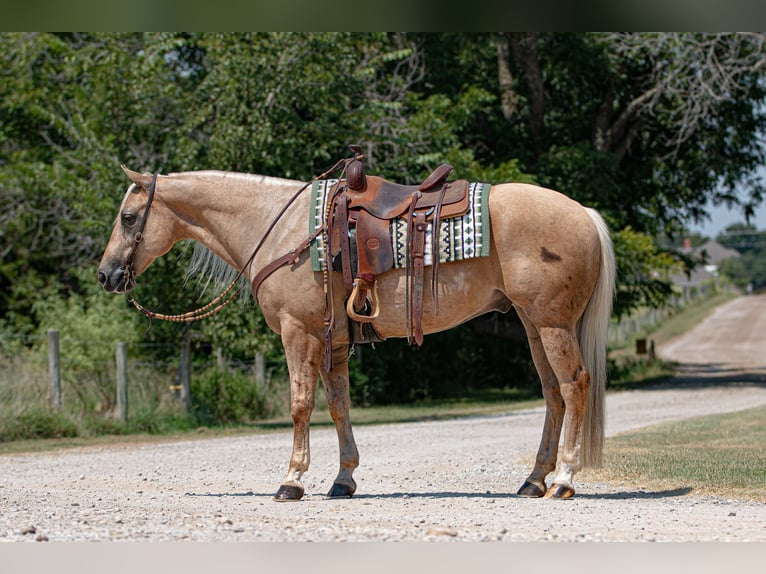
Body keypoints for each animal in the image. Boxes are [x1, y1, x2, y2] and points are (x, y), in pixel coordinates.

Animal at [100, 164, 616, 502]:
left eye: (128, 218)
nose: (106, 275)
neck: (281, 229)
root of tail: (585, 214)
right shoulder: (333, 341)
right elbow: (338, 406)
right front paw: (342, 480)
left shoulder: (299, 333)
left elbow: (300, 404)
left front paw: (292, 480)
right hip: (534, 326)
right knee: (552, 393)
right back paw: (534, 481)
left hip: (552, 325)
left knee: (574, 386)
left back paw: (565, 480)